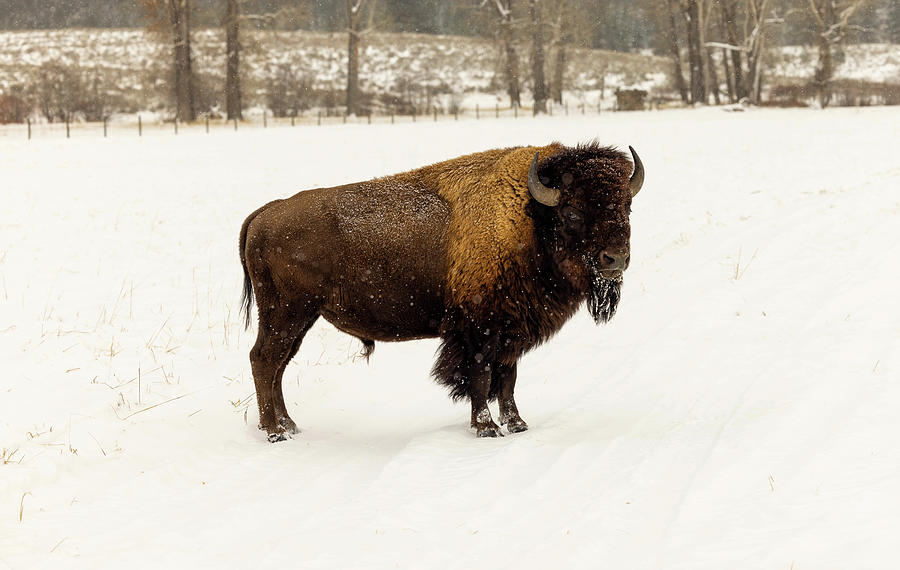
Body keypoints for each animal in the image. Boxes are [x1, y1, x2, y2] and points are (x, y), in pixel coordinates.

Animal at [239, 141, 644, 440]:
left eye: (626, 206)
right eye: (572, 212)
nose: (615, 259)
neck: (531, 217)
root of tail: (265, 213)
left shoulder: (511, 330)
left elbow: (508, 379)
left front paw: (517, 424)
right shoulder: (479, 329)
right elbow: (480, 376)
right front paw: (486, 427)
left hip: (300, 318)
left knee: (278, 365)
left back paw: (289, 426)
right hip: (287, 313)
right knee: (264, 360)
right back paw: (274, 431)